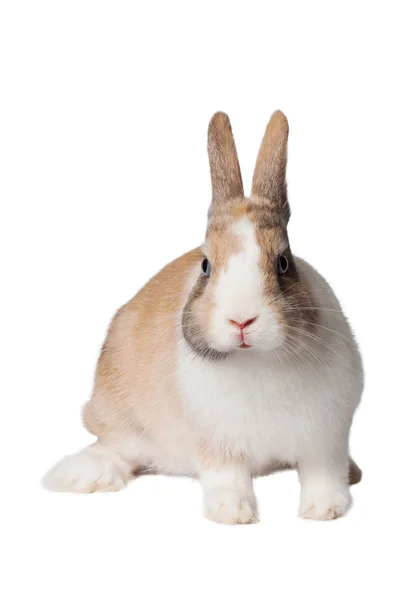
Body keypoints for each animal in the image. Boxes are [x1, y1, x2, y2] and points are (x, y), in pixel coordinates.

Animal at [43, 110, 362, 524]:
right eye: (206, 265)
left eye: (283, 262)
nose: (241, 321)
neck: (257, 362)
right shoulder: (217, 443)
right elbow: (227, 477)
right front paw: (233, 513)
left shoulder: (326, 440)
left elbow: (323, 475)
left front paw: (323, 510)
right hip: (116, 414)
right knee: (114, 445)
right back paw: (86, 475)